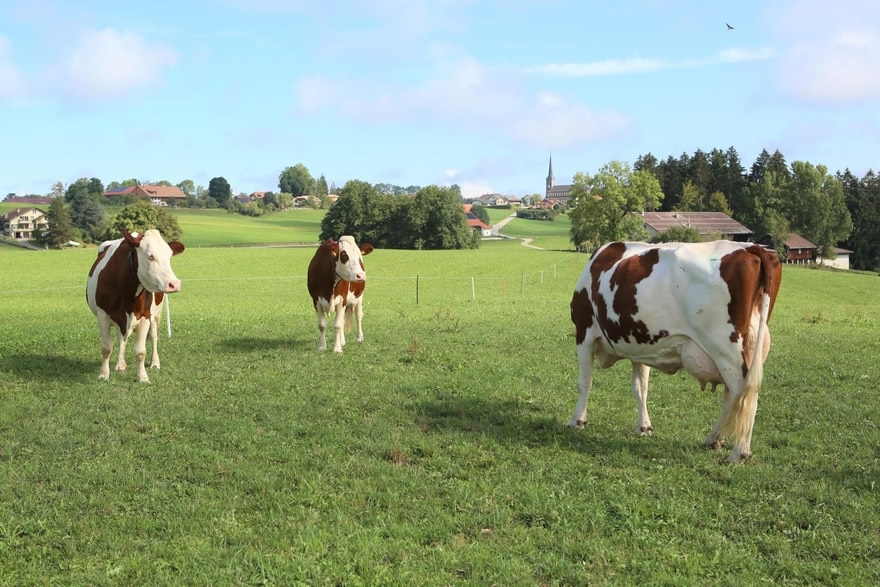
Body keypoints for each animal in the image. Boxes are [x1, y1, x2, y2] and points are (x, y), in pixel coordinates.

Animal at [86, 227, 184, 384]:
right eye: (151, 256)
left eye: (169, 257)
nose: (174, 284)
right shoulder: (103, 315)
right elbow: (107, 347)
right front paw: (103, 374)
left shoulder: (144, 316)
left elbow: (140, 351)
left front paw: (142, 376)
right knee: (121, 338)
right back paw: (120, 364)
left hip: (156, 314)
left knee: (154, 336)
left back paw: (155, 363)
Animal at [572, 241, 784, 462]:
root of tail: (749, 248)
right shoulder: (639, 344)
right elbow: (640, 388)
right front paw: (644, 426)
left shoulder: (584, 333)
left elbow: (585, 383)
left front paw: (578, 421)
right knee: (733, 397)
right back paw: (713, 439)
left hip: (726, 350)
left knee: (743, 394)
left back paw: (738, 452)